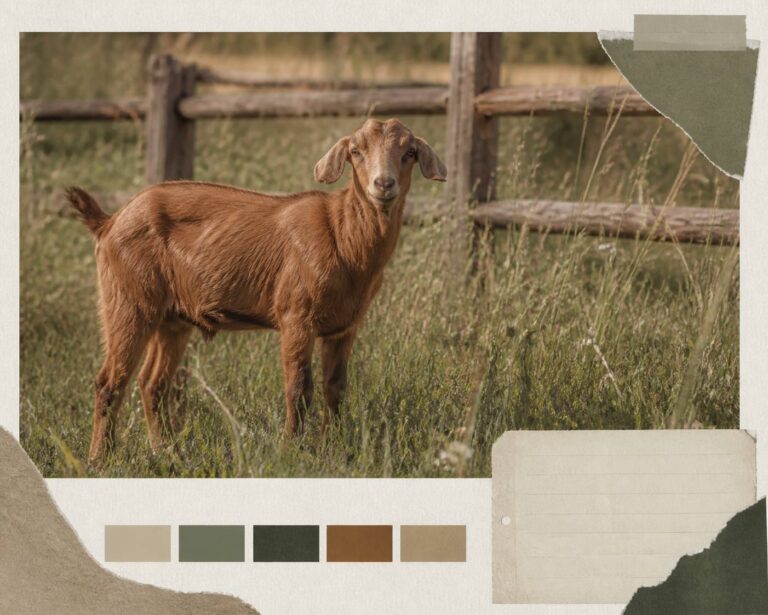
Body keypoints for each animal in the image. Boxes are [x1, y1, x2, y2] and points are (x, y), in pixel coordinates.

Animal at [66, 118, 447, 464]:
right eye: (356, 151)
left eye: (409, 152)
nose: (384, 184)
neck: (342, 235)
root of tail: (109, 222)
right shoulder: (296, 316)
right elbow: (298, 388)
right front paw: (292, 452)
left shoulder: (344, 327)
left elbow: (335, 387)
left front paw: (334, 450)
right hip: (128, 300)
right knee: (110, 382)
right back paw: (100, 460)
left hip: (172, 319)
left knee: (151, 383)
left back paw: (167, 453)